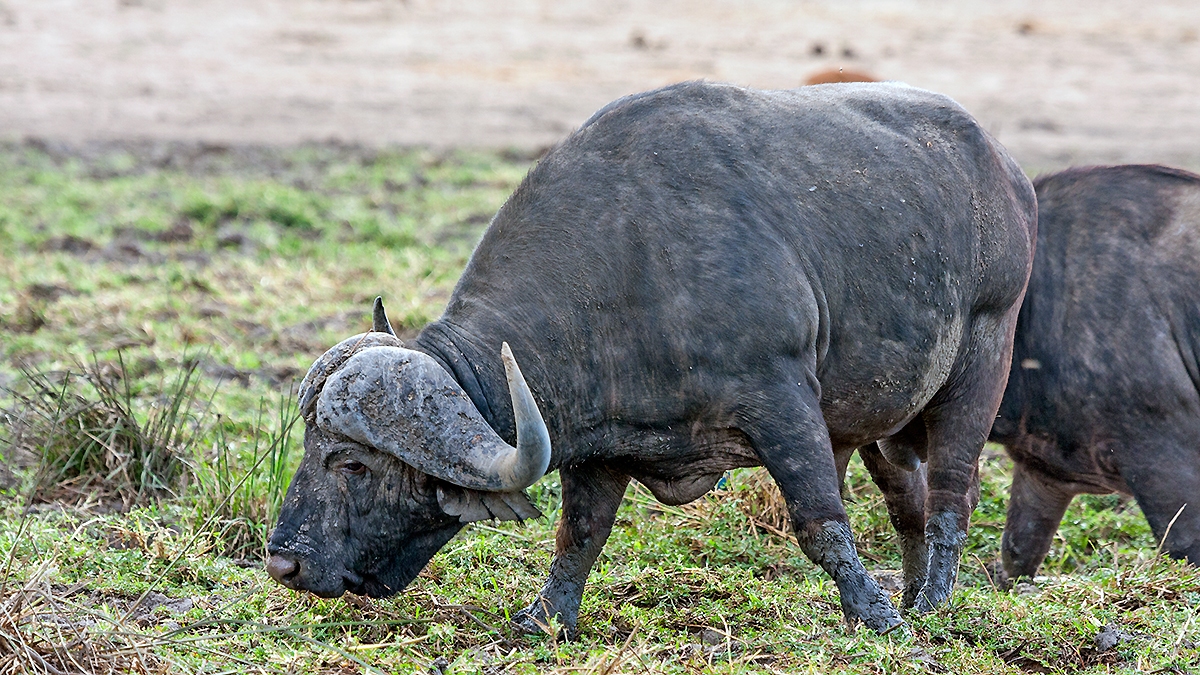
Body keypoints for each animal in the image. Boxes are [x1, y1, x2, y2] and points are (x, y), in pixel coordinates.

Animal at [267, 81, 1036, 634]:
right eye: (308, 448)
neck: (629, 266)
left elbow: (819, 521)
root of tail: (1008, 171)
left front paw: (874, 617)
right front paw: (545, 619)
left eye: (354, 464)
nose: (284, 563)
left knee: (953, 492)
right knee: (907, 497)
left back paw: (930, 605)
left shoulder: (781, 400)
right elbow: (578, 534)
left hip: (982, 362)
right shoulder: (600, 443)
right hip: (878, 415)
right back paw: (914, 592)